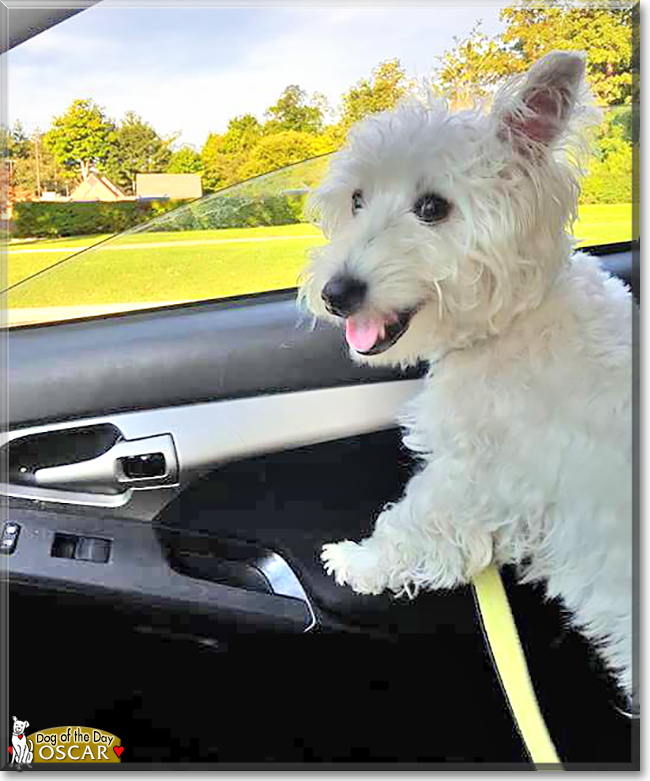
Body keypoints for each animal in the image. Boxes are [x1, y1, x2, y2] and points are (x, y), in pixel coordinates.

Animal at [300, 53, 632, 700]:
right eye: (356, 199)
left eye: (433, 208)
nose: (336, 294)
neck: (512, 325)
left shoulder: (473, 478)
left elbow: (409, 526)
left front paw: (354, 561)